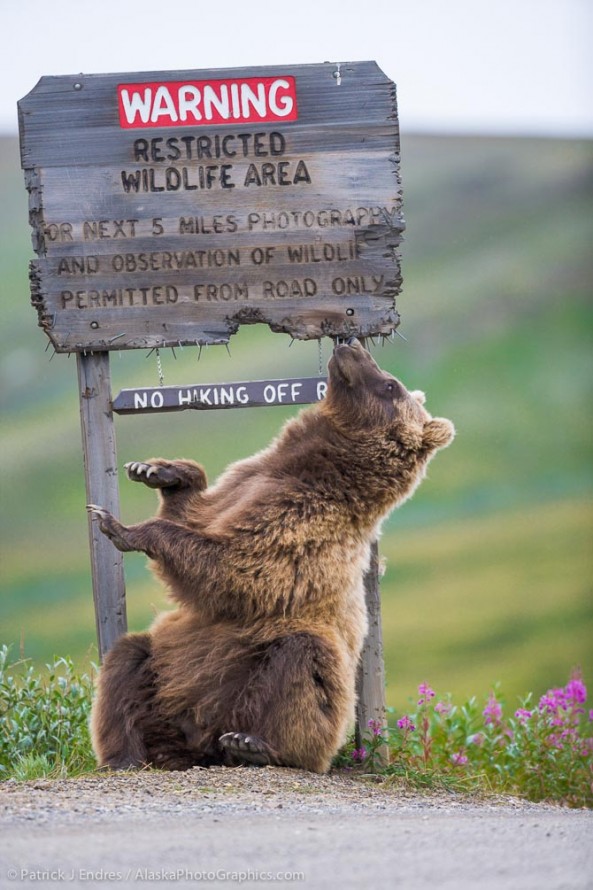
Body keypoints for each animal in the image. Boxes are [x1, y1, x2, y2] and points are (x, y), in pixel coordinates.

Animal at [89, 340, 454, 772]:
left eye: (390, 384)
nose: (350, 344)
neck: (315, 468)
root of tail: (202, 742)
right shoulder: (245, 484)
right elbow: (198, 514)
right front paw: (157, 471)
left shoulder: (300, 523)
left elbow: (237, 567)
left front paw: (124, 527)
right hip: (166, 668)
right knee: (127, 661)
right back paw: (125, 755)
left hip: (297, 676)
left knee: (302, 665)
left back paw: (255, 744)